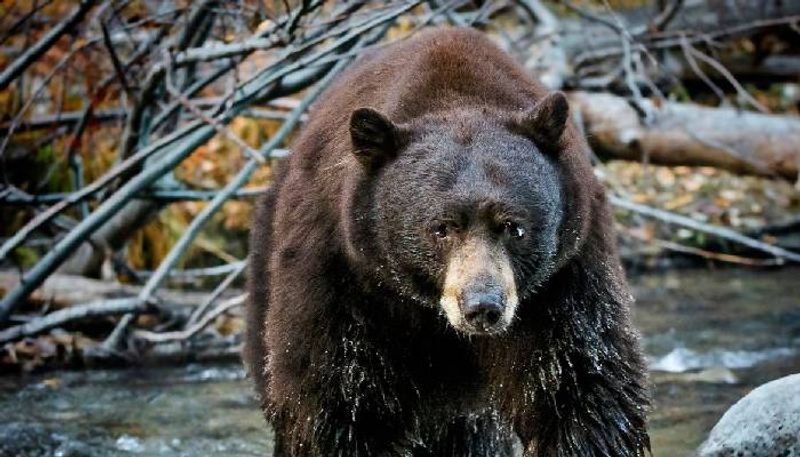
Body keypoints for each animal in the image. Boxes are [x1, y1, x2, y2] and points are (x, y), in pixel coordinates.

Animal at [244, 26, 648, 454]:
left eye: (514, 226)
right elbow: (336, 400)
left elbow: (579, 382)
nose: (482, 306)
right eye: (442, 227)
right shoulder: (342, 277)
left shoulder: (564, 277)